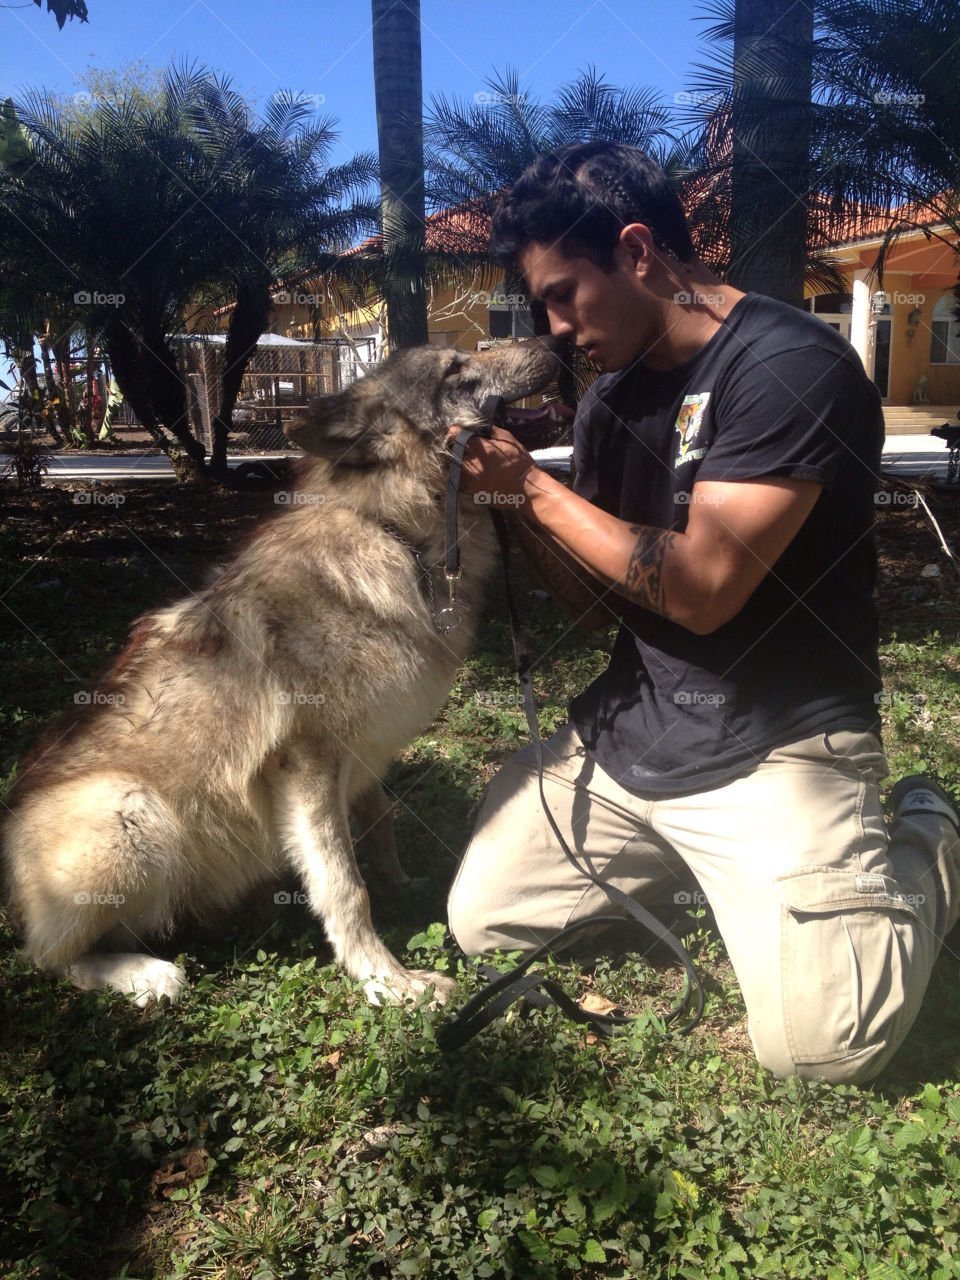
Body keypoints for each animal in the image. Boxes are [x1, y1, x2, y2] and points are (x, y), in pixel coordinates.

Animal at [3, 337, 562, 1007]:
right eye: (456, 368)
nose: (554, 341)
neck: (395, 537)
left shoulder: (364, 753)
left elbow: (379, 826)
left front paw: (402, 885)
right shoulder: (309, 762)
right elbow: (345, 886)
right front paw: (388, 981)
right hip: (132, 810)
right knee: (46, 958)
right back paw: (146, 974)